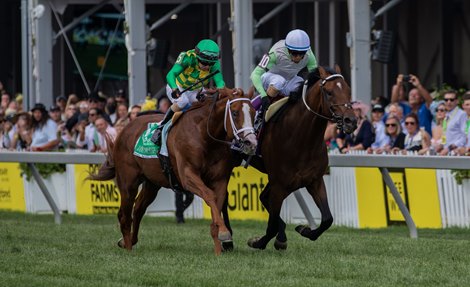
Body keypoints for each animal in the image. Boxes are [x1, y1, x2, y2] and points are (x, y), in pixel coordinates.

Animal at [88, 88, 258, 256]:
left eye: (254, 112)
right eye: (235, 113)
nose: (251, 142)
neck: (204, 136)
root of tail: (125, 129)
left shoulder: (220, 179)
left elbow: (216, 203)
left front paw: (219, 247)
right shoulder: (187, 175)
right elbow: (210, 195)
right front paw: (224, 232)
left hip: (152, 183)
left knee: (138, 210)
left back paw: (127, 241)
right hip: (128, 182)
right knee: (125, 216)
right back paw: (129, 248)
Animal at [242, 66, 356, 251]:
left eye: (348, 90)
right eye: (329, 92)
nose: (351, 121)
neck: (300, 137)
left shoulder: (314, 180)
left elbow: (327, 219)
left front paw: (304, 229)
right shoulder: (280, 183)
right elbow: (271, 224)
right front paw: (258, 241)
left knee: (264, 198)